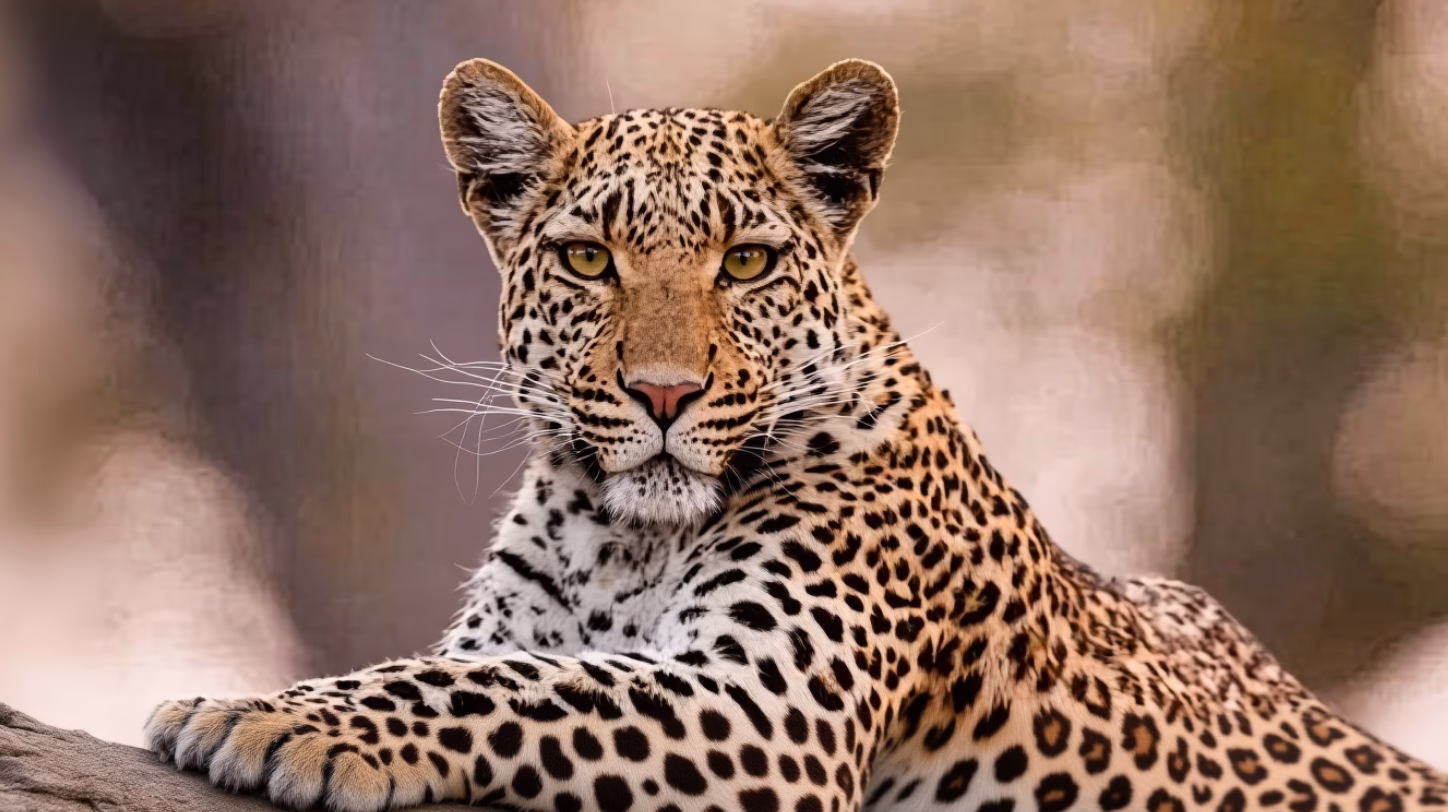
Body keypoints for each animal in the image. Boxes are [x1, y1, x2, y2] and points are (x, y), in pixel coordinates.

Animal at [145, 58, 1448, 812]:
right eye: (587, 259)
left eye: (746, 262)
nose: (663, 393)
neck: (621, 537)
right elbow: (504, 661)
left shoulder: (763, 707)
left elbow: (518, 685)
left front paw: (264, 714)